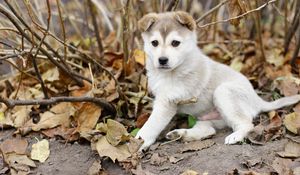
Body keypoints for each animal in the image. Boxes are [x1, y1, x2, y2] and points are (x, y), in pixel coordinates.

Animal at [136, 10, 300, 150]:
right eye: (154, 43)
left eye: (175, 43)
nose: (162, 60)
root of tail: (257, 99)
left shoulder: (167, 102)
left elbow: (151, 125)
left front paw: (139, 141)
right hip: (207, 118)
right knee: (209, 130)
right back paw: (181, 134)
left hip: (223, 93)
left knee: (247, 124)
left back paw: (235, 136)